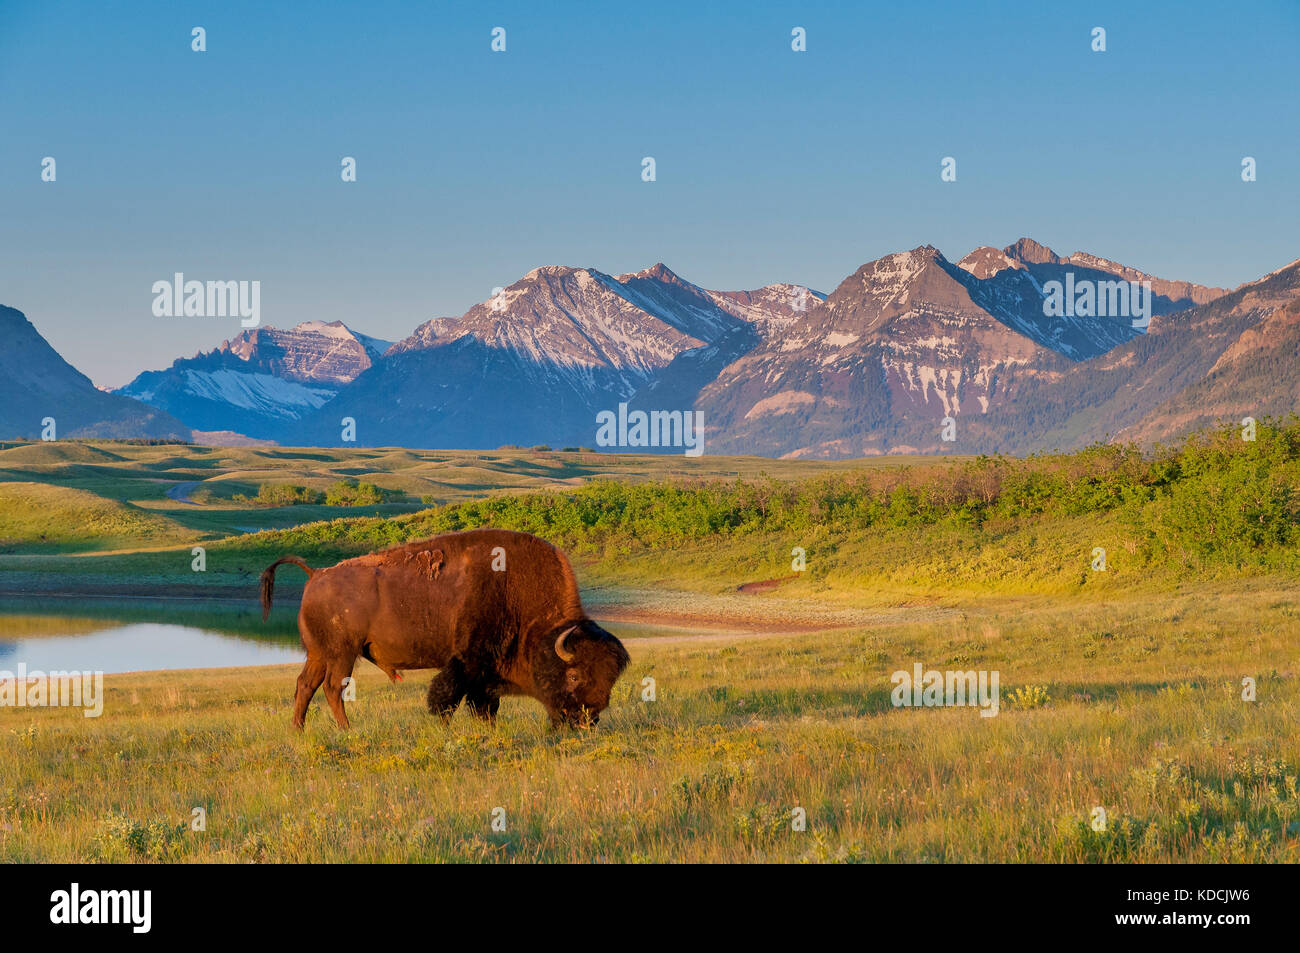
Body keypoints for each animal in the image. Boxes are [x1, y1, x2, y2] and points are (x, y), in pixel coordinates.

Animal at [259, 529, 629, 730]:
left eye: (609, 680)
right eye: (575, 675)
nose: (586, 722)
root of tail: (316, 574)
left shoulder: (484, 673)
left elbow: (485, 706)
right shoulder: (467, 662)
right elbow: (449, 699)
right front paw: (444, 727)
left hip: (319, 653)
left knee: (305, 685)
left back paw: (299, 731)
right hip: (342, 653)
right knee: (332, 688)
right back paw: (347, 730)